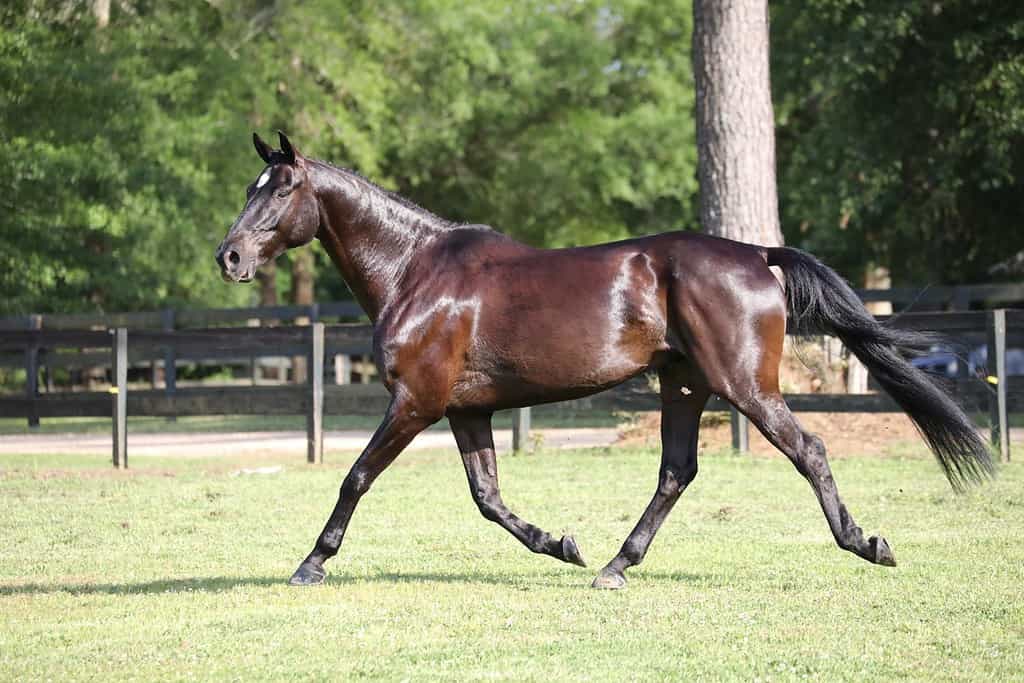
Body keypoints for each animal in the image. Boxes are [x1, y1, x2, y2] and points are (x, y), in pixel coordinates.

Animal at [216, 132, 993, 589]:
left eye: (281, 189)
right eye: (251, 188)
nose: (229, 257)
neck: (416, 270)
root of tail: (755, 255)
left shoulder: (416, 402)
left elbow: (355, 476)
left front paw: (311, 563)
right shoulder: (467, 410)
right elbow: (488, 498)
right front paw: (562, 543)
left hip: (745, 386)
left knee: (809, 449)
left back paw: (867, 543)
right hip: (684, 385)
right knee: (677, 471)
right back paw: (616, 565)